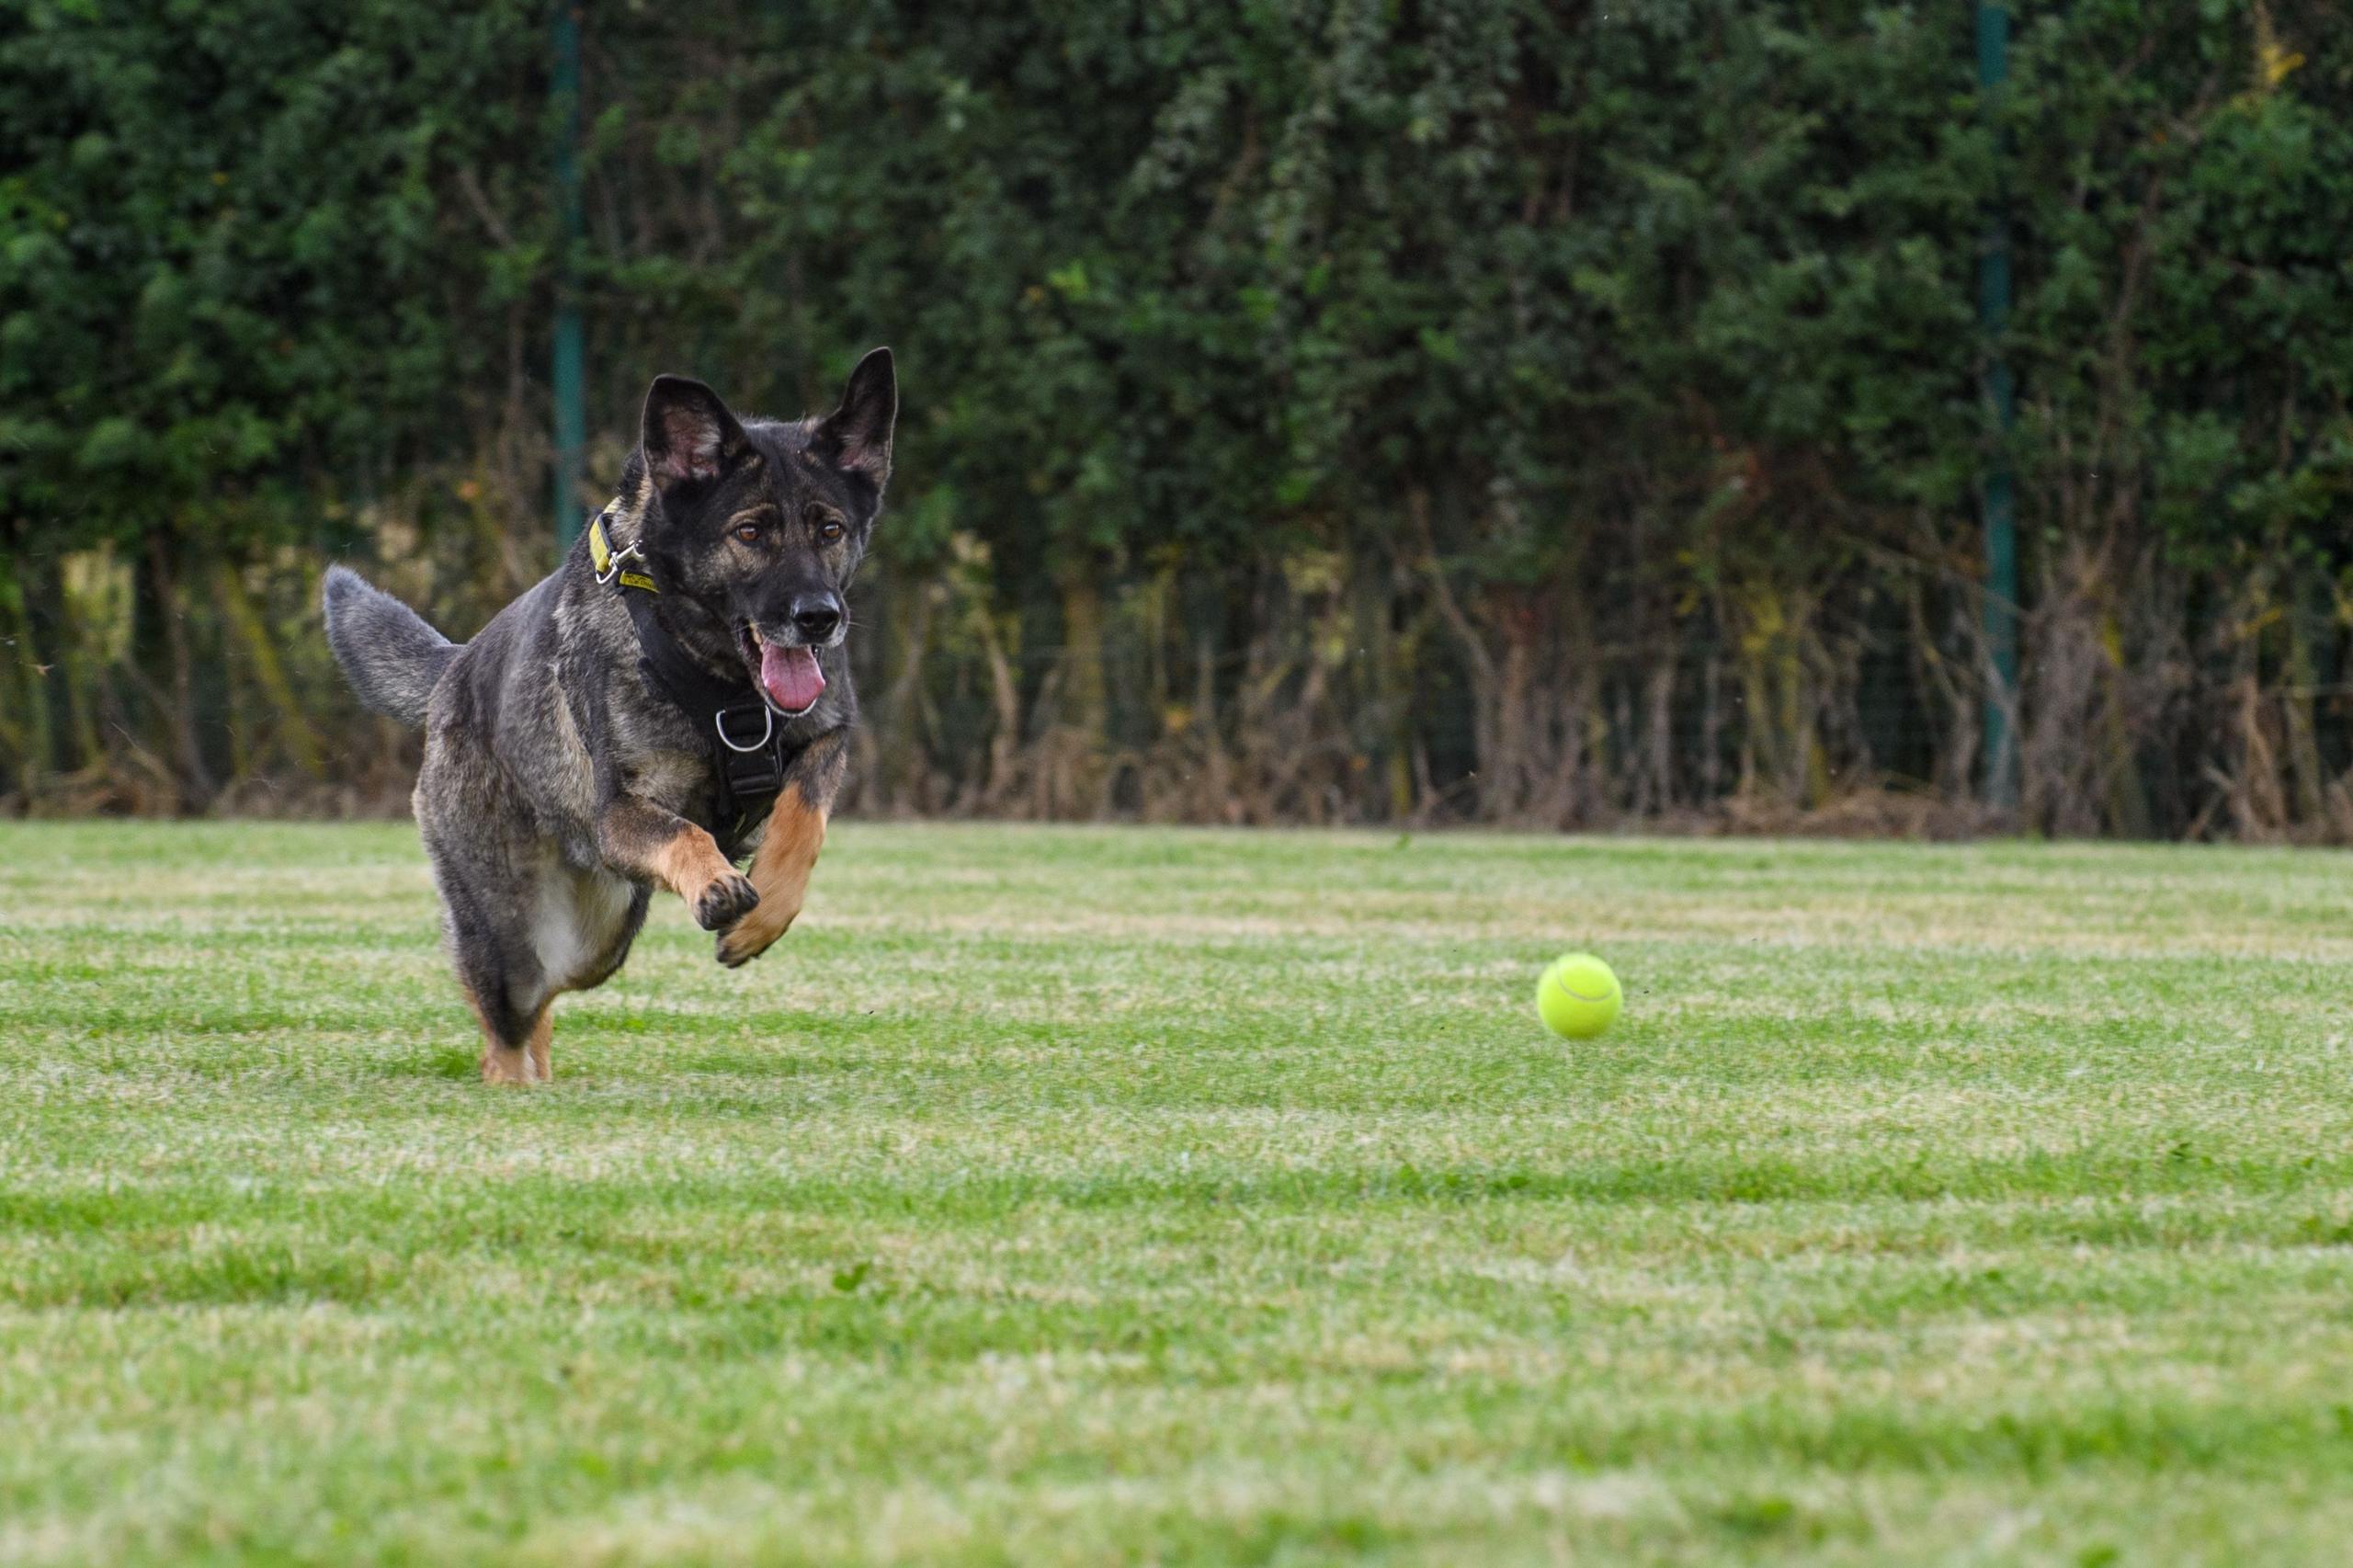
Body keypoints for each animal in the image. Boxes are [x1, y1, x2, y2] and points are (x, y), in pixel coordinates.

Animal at [322, 348, 889, 1083]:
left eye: (830, 530)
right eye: (750, 532)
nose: (819, 617)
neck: (719, 684)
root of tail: (455, 668)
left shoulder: (827, 737)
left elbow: (803, 823)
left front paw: (762, 919)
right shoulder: (619, 816)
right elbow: (687, 833)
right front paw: (718, 884)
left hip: (599, 938)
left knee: (546, 997)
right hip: (515, 933)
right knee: (503, 1014)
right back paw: (510, 1084)